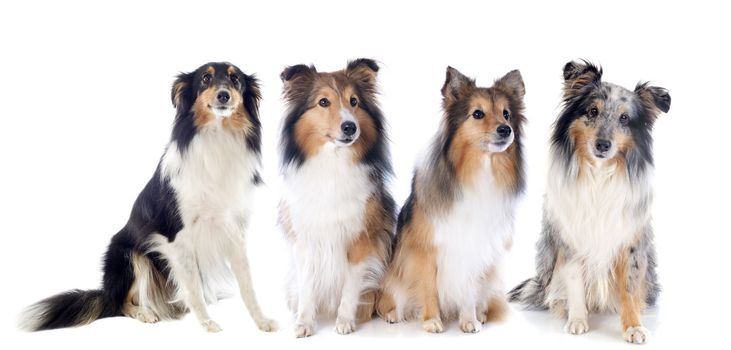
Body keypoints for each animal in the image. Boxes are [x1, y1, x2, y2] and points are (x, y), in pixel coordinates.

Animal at [20, 61, 278, 332]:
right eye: (205, 79)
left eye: (235, 79)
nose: (224, 95)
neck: (218, 136)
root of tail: (105, 292)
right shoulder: (177, 237)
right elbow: (194, 288)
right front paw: (207, 323)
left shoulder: (235, 230)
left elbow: (247, 285)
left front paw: (262, 321)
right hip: (130, 256)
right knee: (120, 304)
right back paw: (145, 312)